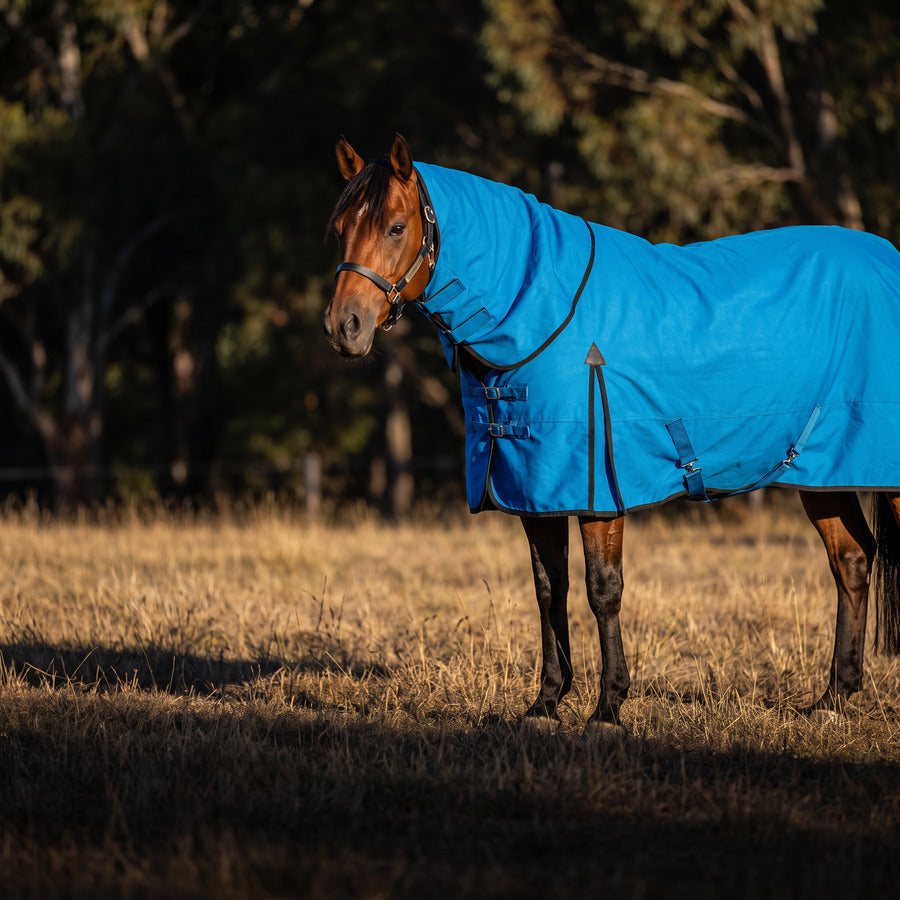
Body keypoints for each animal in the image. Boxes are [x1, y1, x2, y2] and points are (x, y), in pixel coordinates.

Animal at [323, 134, 900, 730]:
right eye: (339, 227)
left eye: (395, 227)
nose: (344, 327)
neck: (540, 315)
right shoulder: (536, 491)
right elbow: (549, 590)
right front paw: (545, 704)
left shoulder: (597, 490)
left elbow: (603, 590)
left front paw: (607, 708)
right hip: (823, 473)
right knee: (852, 561)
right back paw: (833, 699)